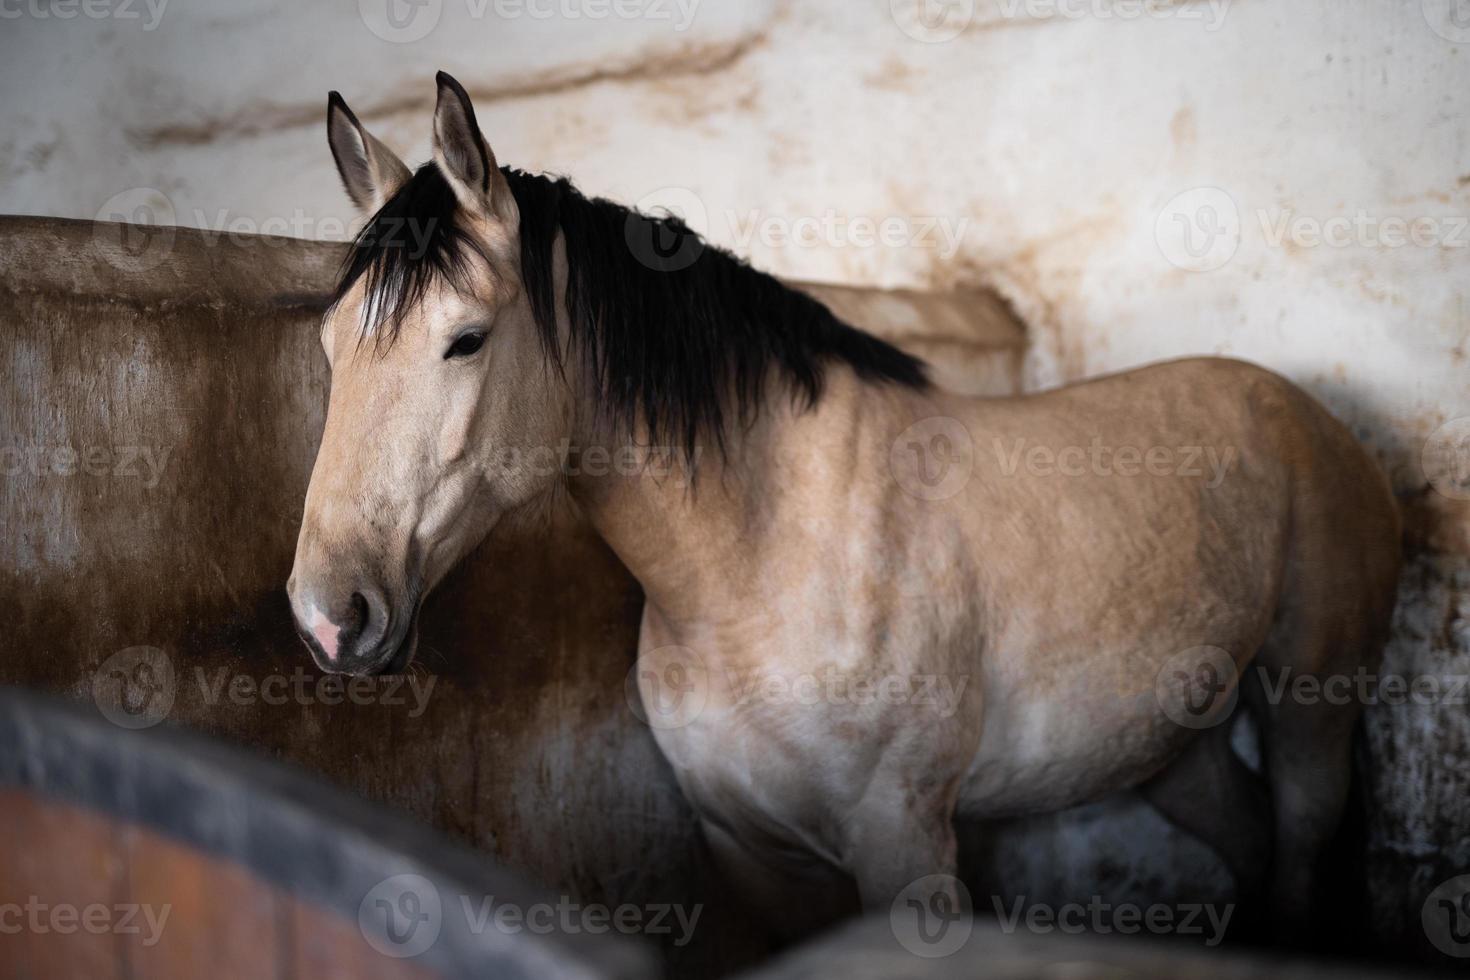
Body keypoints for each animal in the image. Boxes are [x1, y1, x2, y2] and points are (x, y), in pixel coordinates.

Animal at [283, 70, 1399, 934]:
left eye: (466, 340)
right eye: (331, 343)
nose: (331, 614)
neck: (762, 563)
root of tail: (1302, 407)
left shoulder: (904, 843)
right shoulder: (747, 851)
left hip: (1310, 707)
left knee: (1298, 842)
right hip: (1172, 740)